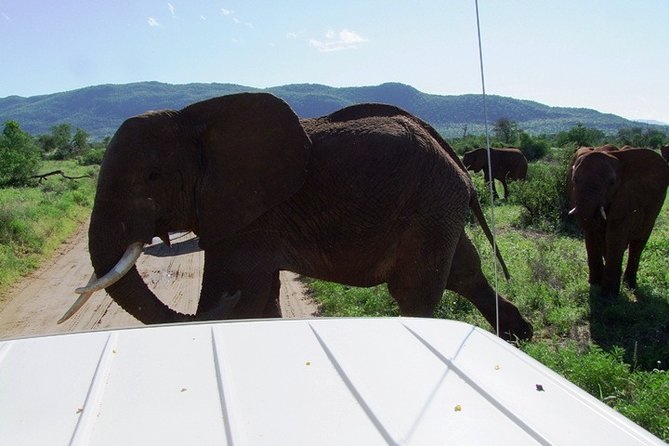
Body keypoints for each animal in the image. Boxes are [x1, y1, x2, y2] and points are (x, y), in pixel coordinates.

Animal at [63, 93, 532, 341]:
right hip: (440, 206)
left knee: (415, 294)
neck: (193, 119)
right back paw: (520, 337)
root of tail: (450, 156)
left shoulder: (248, 218)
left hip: (430, 205)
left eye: (153, 176)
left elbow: (243, 292)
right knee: (465, 273)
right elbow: (259, 298)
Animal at [569, 145, 669, 298]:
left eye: (612, 183)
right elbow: (592, 236)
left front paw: (607, 297)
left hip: (654, 209)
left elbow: (614, 237)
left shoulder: (627, 196)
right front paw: (595, 284)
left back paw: (630, 285)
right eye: (574, 180)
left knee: (638, 242)